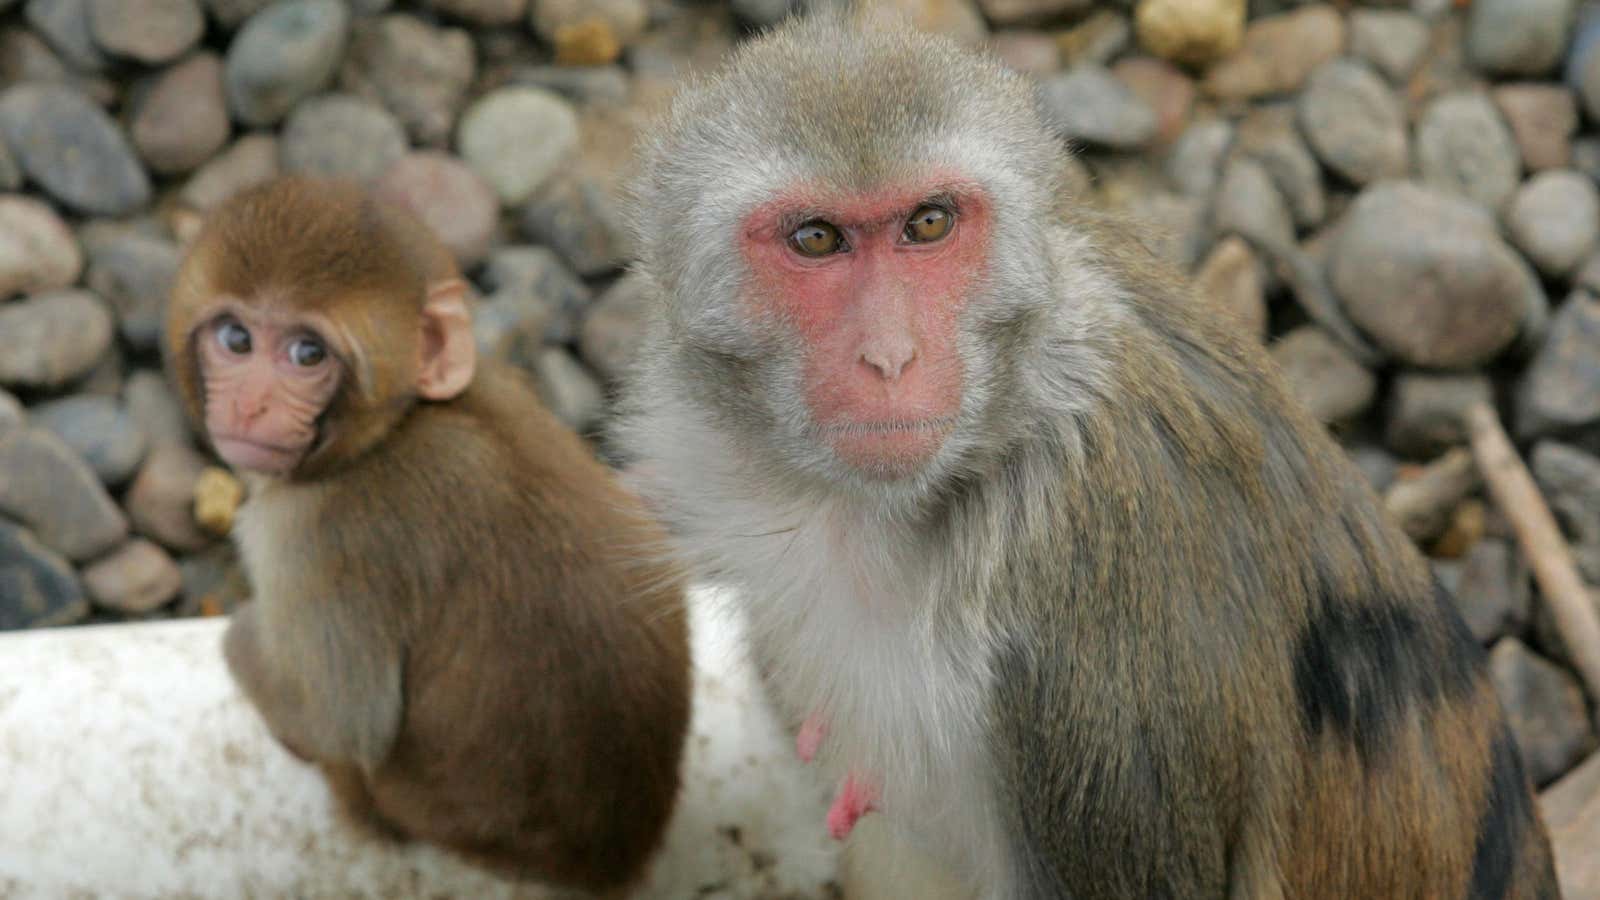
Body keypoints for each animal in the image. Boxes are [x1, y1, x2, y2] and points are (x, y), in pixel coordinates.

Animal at [165, 175, 691, 890]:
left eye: (307, 353)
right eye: (236, 339)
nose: (250, 405)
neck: (397, 427)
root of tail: (613, 857)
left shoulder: (314, 534)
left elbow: (342, 724)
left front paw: (240, 634)